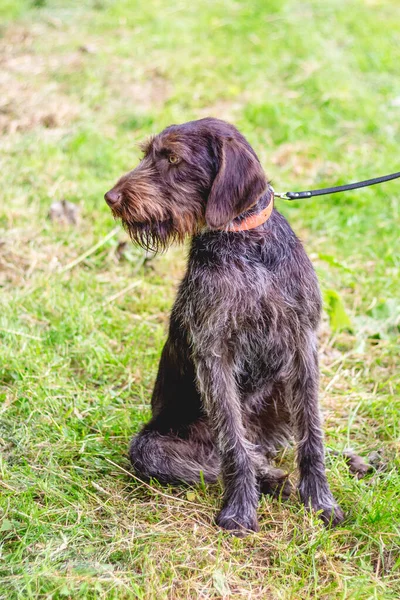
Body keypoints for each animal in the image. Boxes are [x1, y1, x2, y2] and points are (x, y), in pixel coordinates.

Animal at [104, 118, 344, 536]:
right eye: (147, 154)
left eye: (172, 159)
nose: (111, 197)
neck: (245, 242)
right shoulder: (215, 353)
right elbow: (234, 445)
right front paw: (240, 509)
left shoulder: (302, 345)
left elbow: (312, 435)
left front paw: (320, 499)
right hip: (151, 446)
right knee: (227, 458)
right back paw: (271, 478)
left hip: (281, 392)